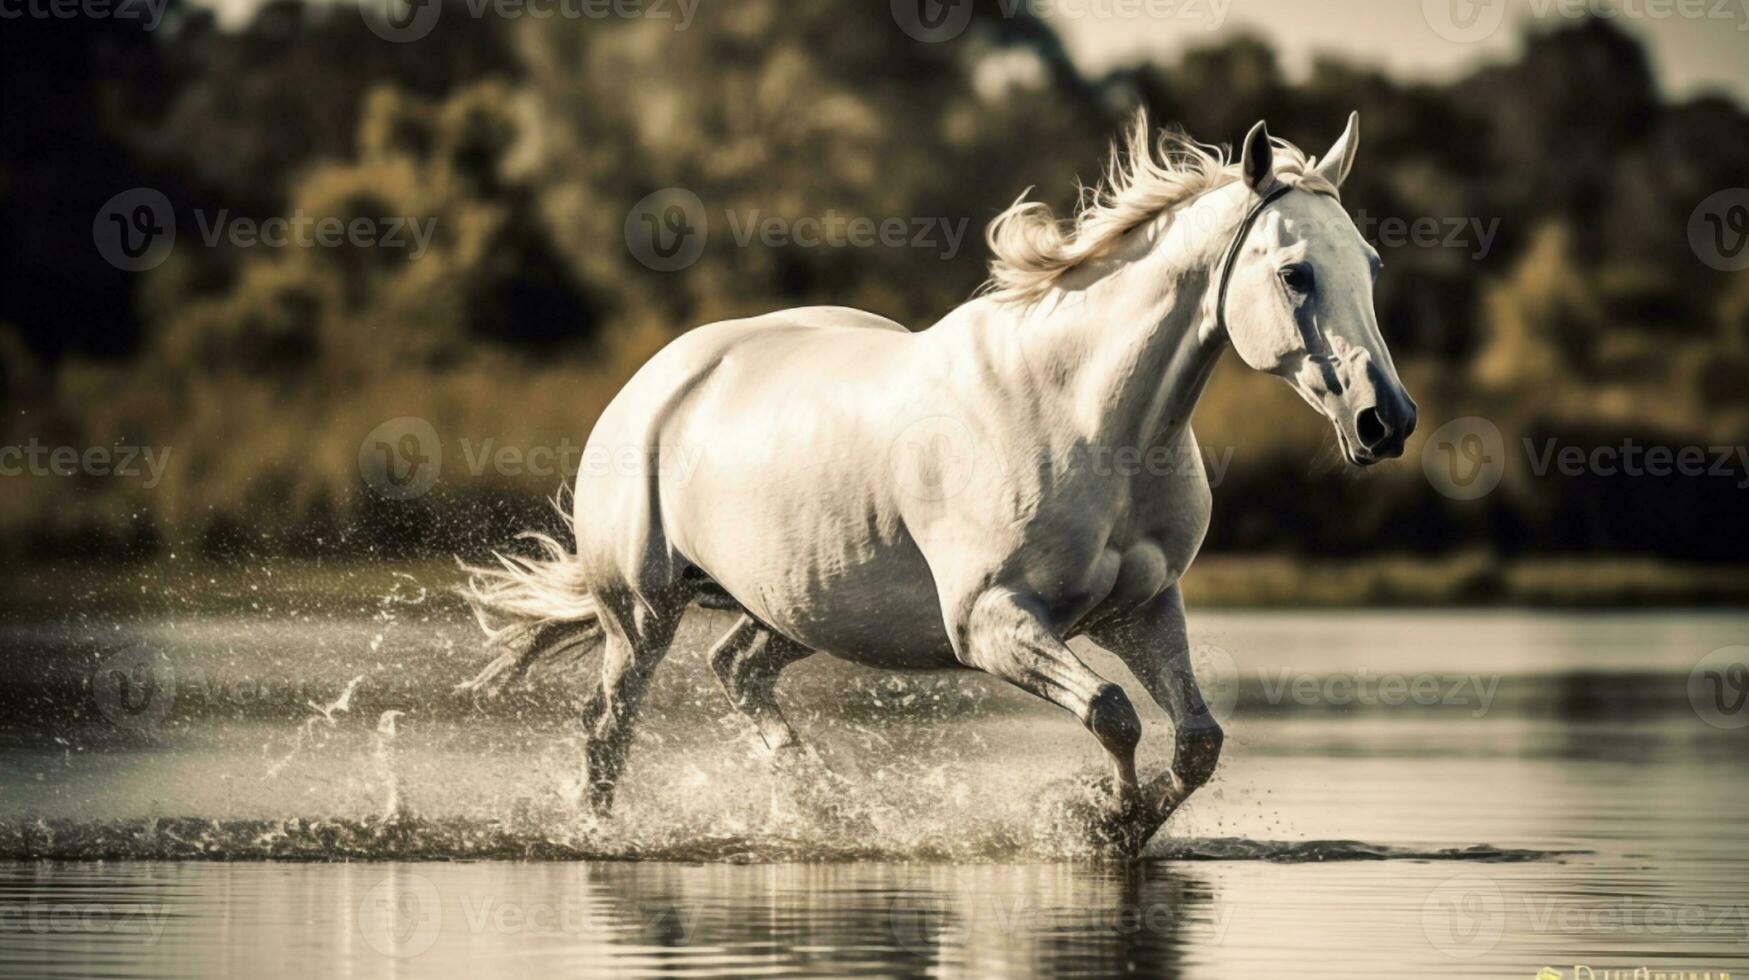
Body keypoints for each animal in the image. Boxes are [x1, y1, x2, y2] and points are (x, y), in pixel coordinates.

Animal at [465, 111, 1420, 854]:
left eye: (1372, 266)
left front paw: (1117, 824)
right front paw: (1095, 822)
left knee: (736, 667)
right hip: (639, 614)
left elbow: (1196, 744)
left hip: (797, 607)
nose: (1386, 420)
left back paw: (826, 811)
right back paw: (603, 835)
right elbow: (1111, 712)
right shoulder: (990, 622)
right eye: (1294, 272)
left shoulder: (1144, 610)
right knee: (608, 727)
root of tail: (656, 381)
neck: (1084, 418)